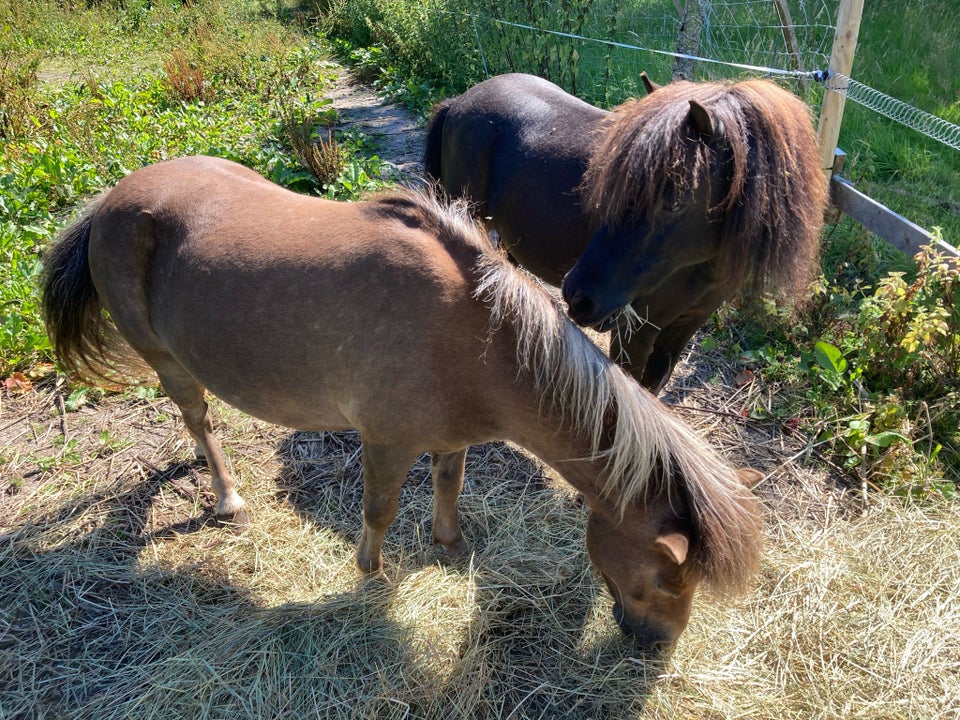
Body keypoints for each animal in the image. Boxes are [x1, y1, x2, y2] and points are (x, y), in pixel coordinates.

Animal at [43, 156, 764, 648]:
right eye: (667, 579)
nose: (656, 646)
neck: (473, 335)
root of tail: (111, 202)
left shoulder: (451, 437)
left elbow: (449, 484)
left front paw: (451, 545)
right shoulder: (386, 443)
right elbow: (380, 513)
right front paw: (373, 578)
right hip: (168, 363)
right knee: (199, 420)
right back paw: (228, 499)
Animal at [424, 73, 828, 394]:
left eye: (675, 200)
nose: (579, 296)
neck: (696, 269)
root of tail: (460, 102)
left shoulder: (682, 329)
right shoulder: (635, 333)